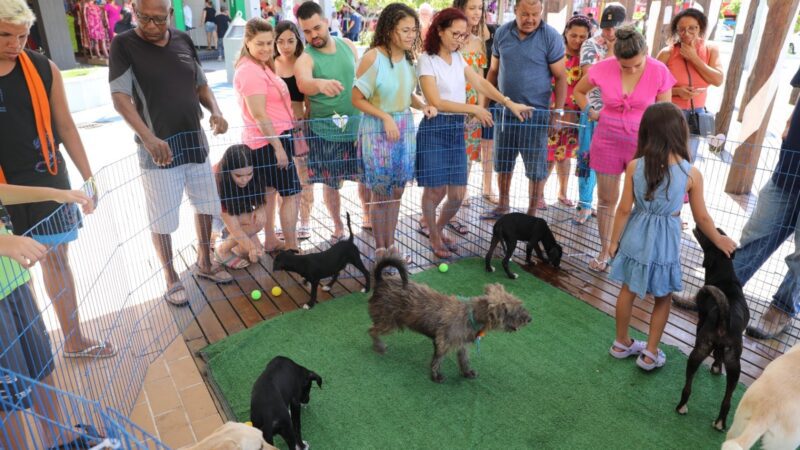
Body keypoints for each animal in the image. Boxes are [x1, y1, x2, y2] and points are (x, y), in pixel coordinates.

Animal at [368, 256, 532, 384]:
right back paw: (379, 346)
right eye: (514, 312)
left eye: (520, 305)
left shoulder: (462, 345)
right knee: (372, 330)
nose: (530, 319)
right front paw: (436, 376)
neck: (470, 314)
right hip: (388, 322)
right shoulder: (442, 343)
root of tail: (381, 282)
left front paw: (467, 373)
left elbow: (464, 360)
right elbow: (437, 361)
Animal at [680, 227, 748, 430]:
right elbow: (718, 356)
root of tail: (725, 319)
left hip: (700, 350)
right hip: (734, 365)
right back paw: (719, 422)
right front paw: (717, 367)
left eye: (709, 236)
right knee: (727, 400)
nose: (699, 226)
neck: (726, 275)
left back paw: (681, 407)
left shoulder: (701, 321)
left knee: (688, 385)